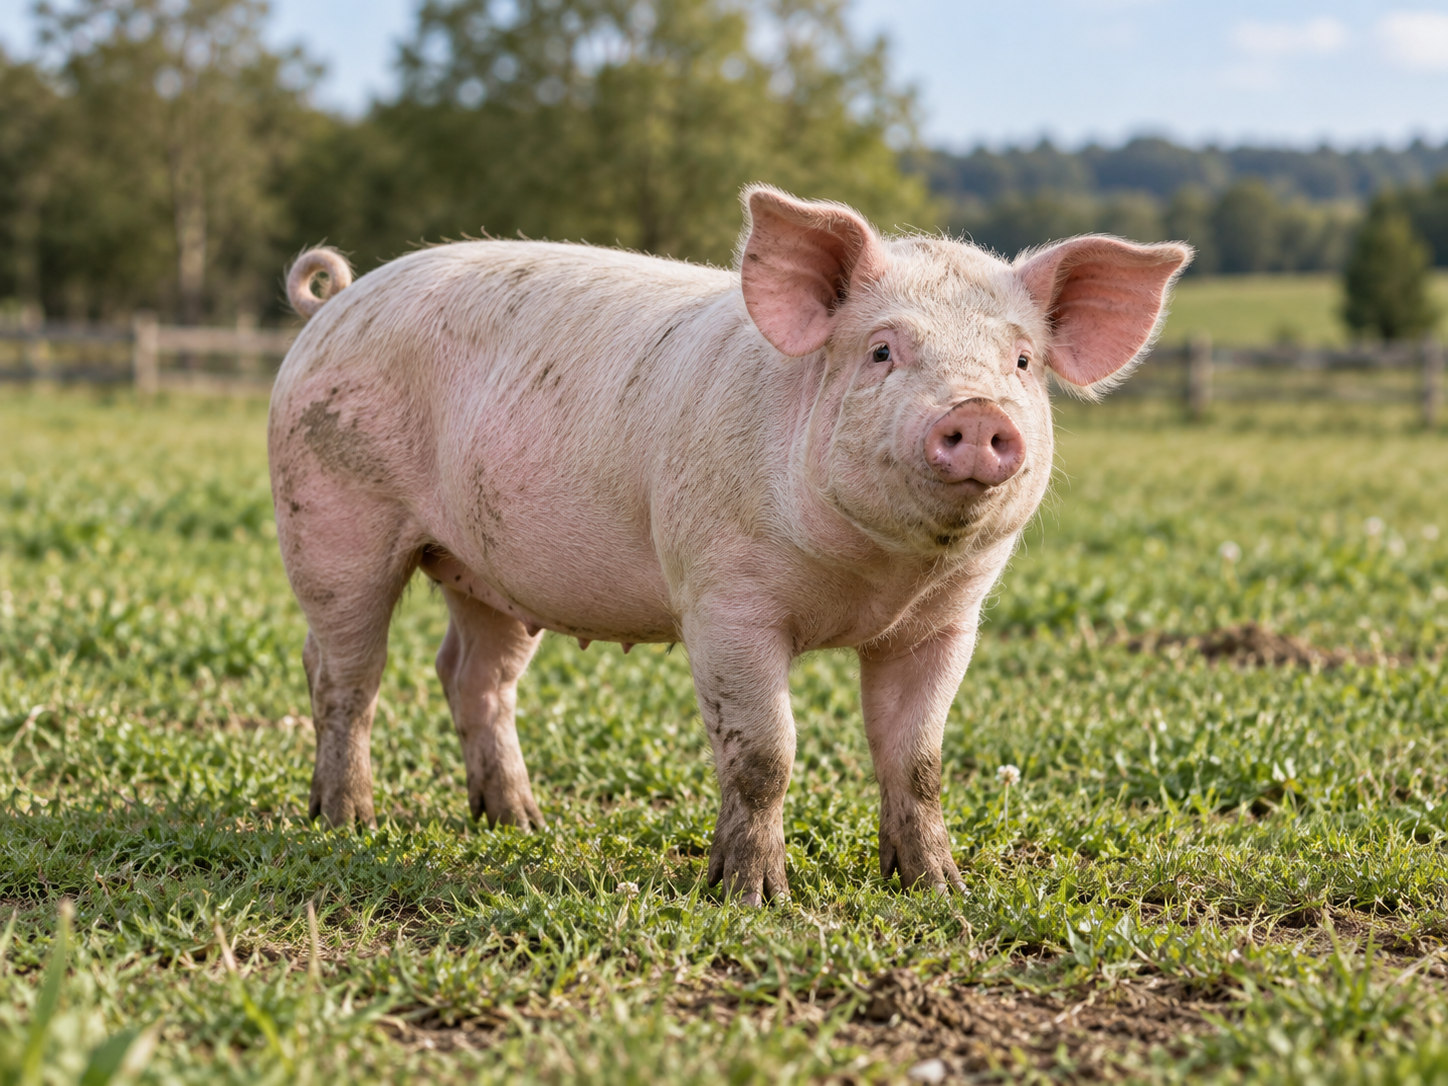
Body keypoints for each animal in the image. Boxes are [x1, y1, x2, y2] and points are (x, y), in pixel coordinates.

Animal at [269, 186, 1190, 903]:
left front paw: (939, 889)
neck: (873, 582)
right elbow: (763, 754)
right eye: (882, 350)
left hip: (487, 569)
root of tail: (333, 304)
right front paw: (752, 896)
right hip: (330, 515)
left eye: (1024, 362)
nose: (978, 413)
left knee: (471, 675)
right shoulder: (723, 600)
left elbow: (919, 759)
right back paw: (348, 821)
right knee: (344, 672)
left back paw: (518, 822)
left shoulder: (945, 622)